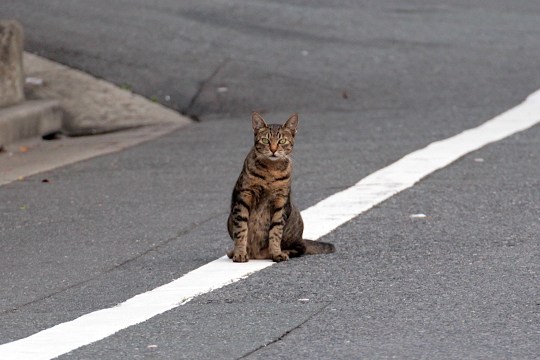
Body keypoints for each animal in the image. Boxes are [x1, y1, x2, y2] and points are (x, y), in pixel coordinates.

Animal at [226, 112, 336, 262]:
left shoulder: (281, 201)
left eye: (282, 141)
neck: (271, 171)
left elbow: (276, 231)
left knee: (300, 248)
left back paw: (281, 252)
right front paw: (240, 253)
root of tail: (256, 254)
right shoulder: (244, 198)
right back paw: (235, 252)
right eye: (265, 140)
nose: (273, 150)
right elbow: (241, 230)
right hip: (229, 219)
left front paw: (276, 252)